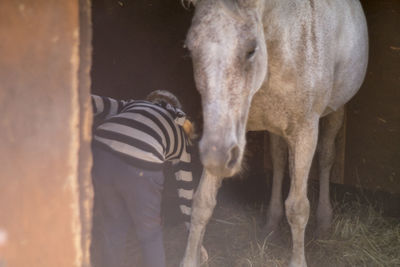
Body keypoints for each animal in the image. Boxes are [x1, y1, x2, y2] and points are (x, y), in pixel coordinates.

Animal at [181, 0, 368, 266]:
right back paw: (271, 221)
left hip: (336, 110)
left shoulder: (305, 132)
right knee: (279, 161)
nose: (217, 158)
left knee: (326, 157)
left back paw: (324, 220)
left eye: (251, 49)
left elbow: (298, 208)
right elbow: (202, 203)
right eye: (189, 49)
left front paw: (298, 261)